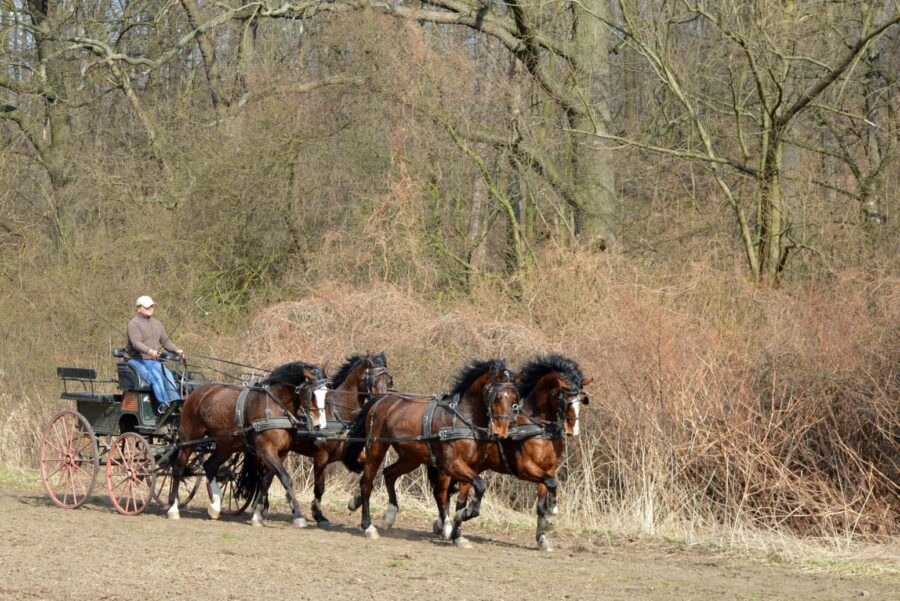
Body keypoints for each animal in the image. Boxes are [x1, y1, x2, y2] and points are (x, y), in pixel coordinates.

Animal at [167, 360, 328, 524]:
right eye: (312, 394)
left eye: (326, 392)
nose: (319, 425)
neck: (275, 407)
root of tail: (196, 392)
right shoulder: (265, 451)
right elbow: (286, 479)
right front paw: (299, 516)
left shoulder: (281, 453)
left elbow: (266, 482)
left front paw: (257, 515)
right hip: (189, 440)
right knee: (178, 468)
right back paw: (173, 508)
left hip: (226, 445)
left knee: (210, 466)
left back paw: (215, 506)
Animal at [248, 352, 392, 524]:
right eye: (373, 380)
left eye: (388, 381)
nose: (383, 402)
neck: (336, 413)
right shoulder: (321, 456)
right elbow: (319, 487)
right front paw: (318, 514)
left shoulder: (349, 454)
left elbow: (368, 474)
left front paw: (355, 501)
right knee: (262, 475)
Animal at [340, 358, 520, 540]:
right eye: (497, 397)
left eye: (514, 399)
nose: (502, 432)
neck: (463, 420)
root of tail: (380, 400)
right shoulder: (451, 464)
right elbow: (478, 485)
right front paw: (463, 516)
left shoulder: (472, 466)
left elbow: (465, 497)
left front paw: (458, 531)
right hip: (377, 448)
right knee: (366, 483)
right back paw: (368, 526)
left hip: (411, 458)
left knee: (389, 473)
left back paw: (390, 514)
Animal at [428, 354, 592, 552]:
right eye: (563, 396)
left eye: (581, 399)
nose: (573, 430)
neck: (538, 426)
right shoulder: (525, 468)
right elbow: (551, 485)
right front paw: (553, 513)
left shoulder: (548, 469)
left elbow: (542, 501)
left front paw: (543, 537)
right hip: (449, 469)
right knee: (442, 494)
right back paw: (445, 527)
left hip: (469, 469)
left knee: (456, 497)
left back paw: (451, 530)